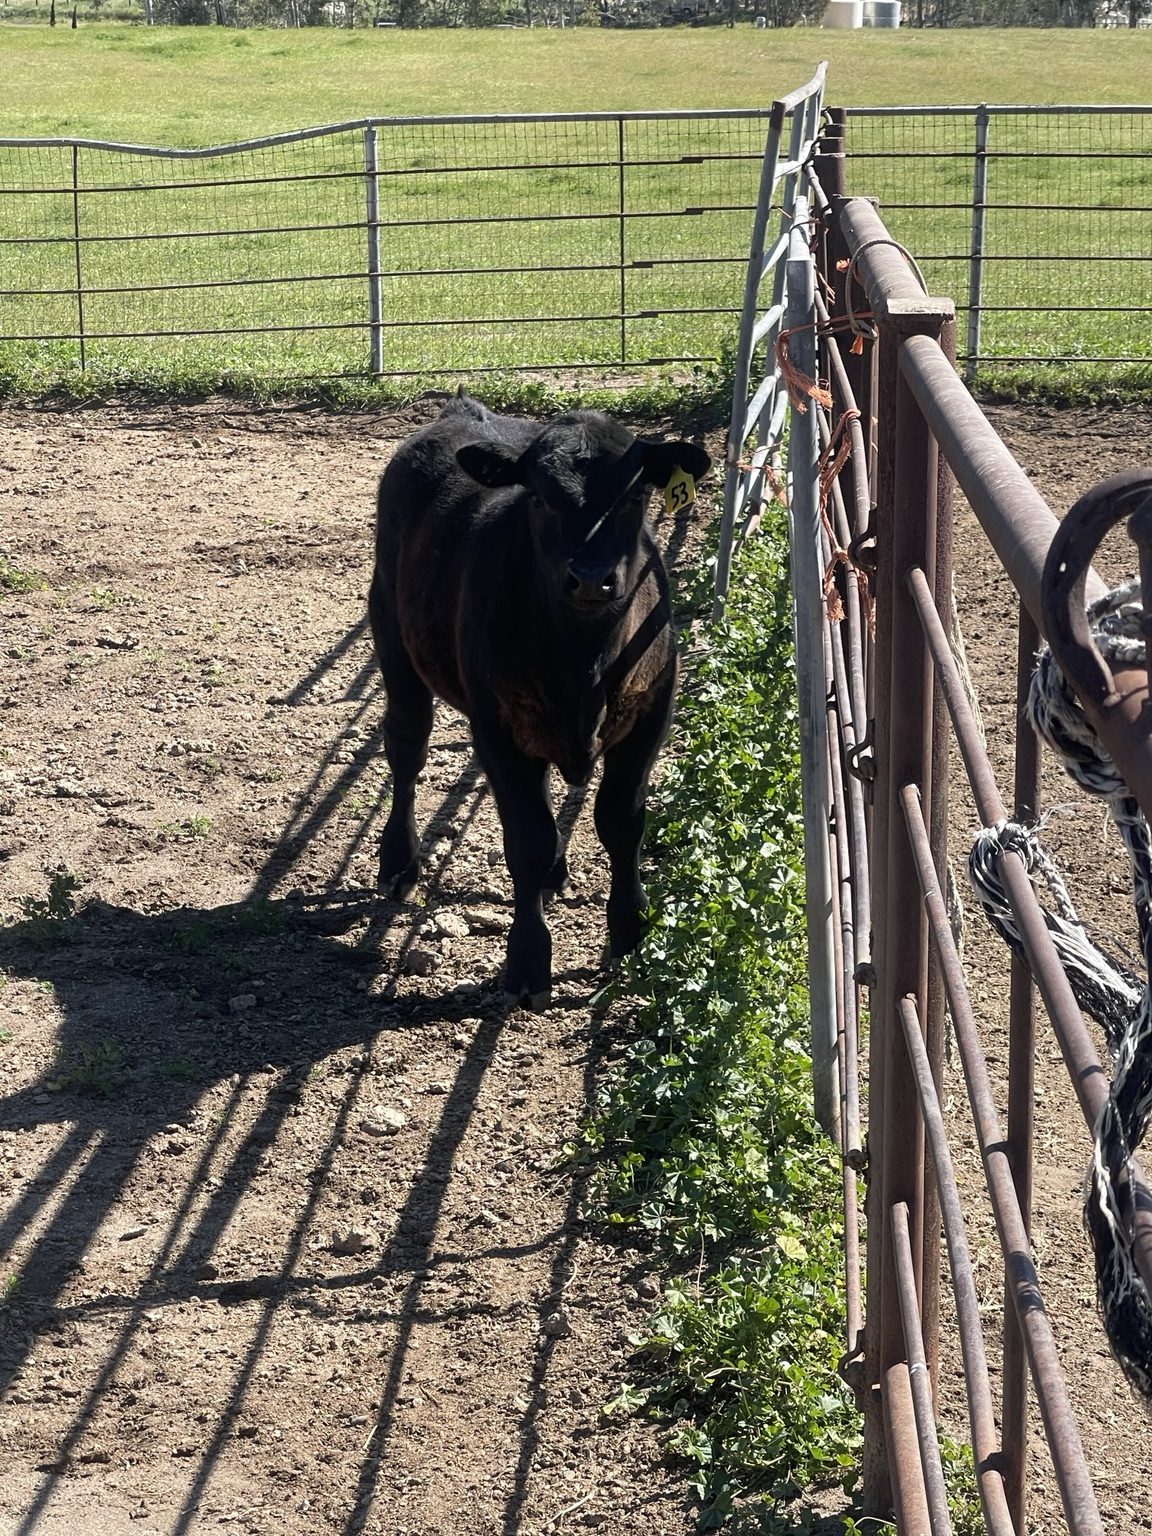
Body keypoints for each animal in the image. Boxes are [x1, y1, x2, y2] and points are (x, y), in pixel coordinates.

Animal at [368, 391, 711, 1009]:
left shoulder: (652, 711)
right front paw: (528, 962)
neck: (585, 661)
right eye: (542, 497)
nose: (592, 579)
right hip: (394, 639)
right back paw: (399, 862)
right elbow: (526, 840)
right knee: (406, 747)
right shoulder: (496, 728)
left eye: (636, 494)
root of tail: (464, 410)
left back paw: (555, 875)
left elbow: (621, 821)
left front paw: (630, 932)